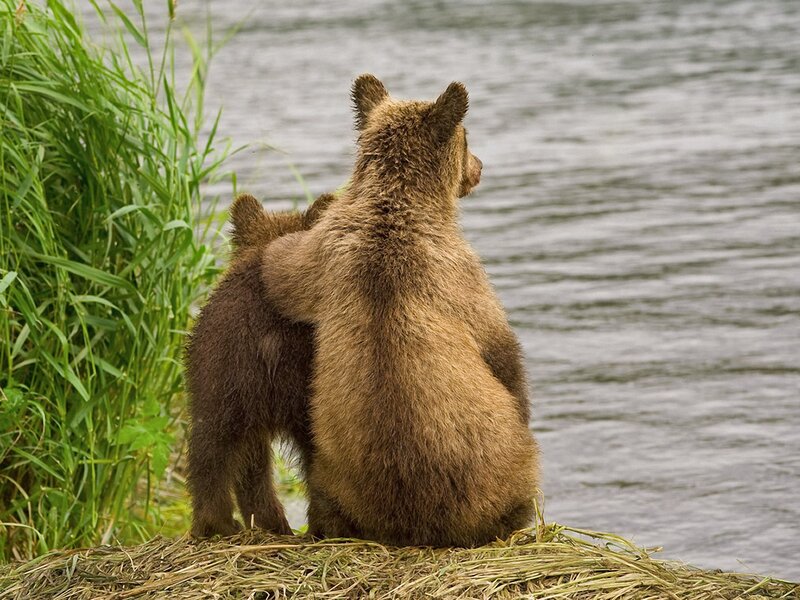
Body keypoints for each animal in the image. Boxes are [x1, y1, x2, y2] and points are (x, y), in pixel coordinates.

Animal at [253, 74, 540, 546]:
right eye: (467, 136)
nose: (480, 166)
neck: (396, 198)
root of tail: (415, 522)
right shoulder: (461, 274)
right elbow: (501, 350)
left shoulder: (321, 252)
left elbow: (279, 268)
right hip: (500, 472)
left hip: (333, 470)